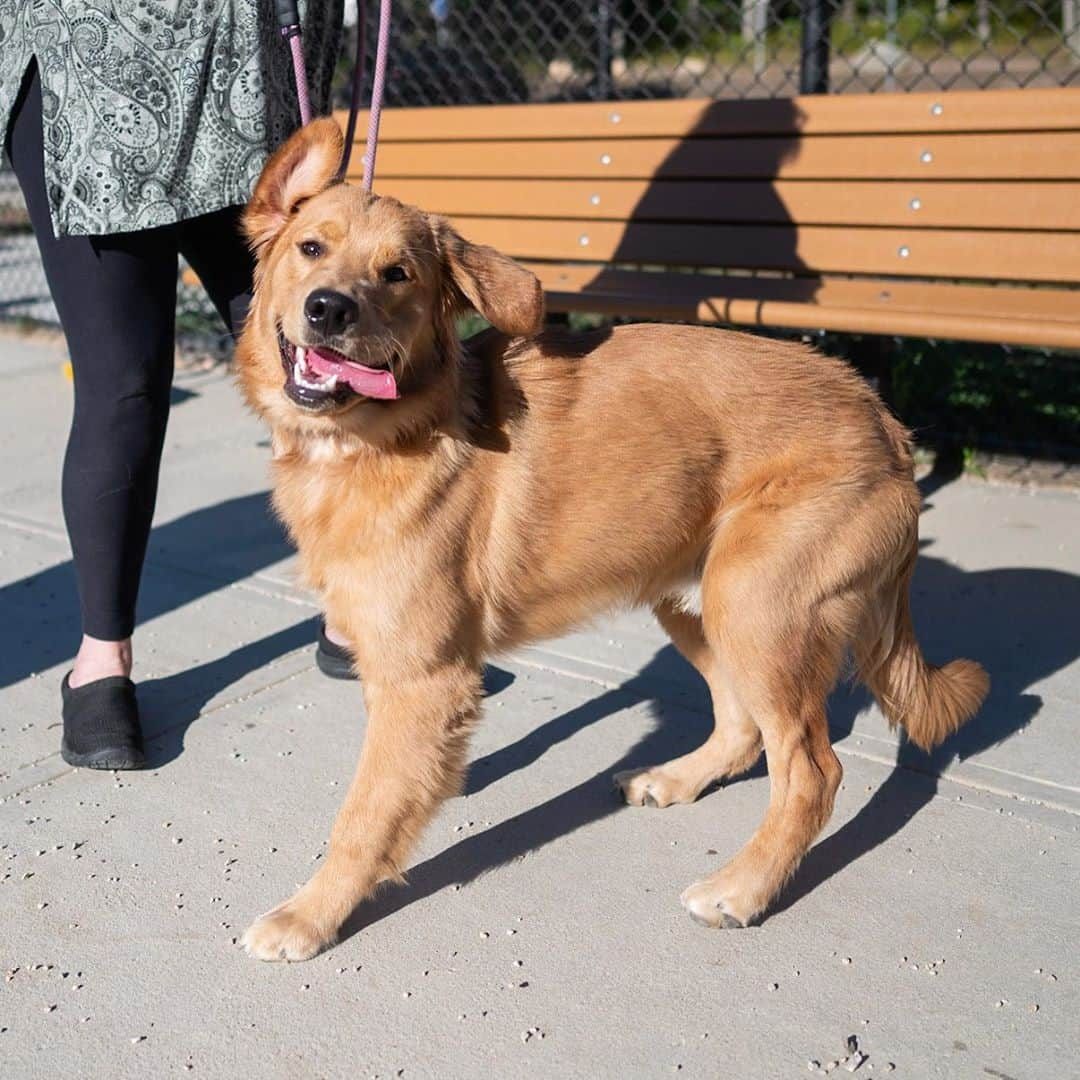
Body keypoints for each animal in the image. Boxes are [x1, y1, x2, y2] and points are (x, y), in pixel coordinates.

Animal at [234, 118, 989, 963]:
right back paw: (681, 781)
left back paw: (743, 888)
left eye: (397, 274)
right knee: (743, 726)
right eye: (310, 247)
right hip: (693, 602)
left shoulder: (422, 680)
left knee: (811, 771)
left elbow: (363, 818)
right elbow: (398, 787)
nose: (329, 309)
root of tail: (884, 420)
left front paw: (312, 914)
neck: (380, 436)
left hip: (756, 607)